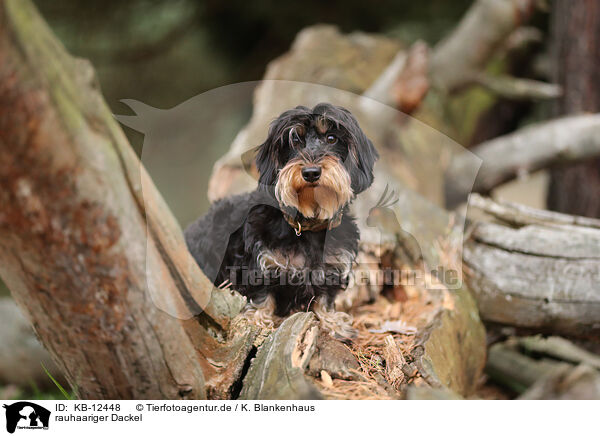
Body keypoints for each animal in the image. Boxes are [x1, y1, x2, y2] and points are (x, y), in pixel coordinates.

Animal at [185, 103, 378, 340]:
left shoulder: (332, 269)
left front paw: (333, 324)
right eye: (293, 140)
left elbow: (325, 300)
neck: (308, 225)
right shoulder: (260, 266)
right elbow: (261, 297)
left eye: (332, 138)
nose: (311, 172)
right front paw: (257, 321)